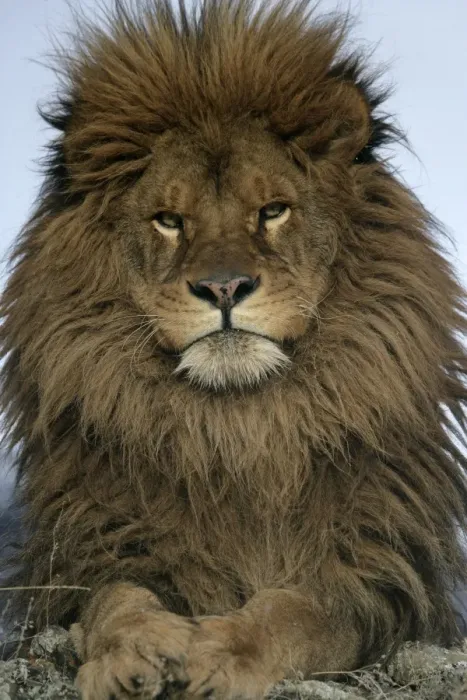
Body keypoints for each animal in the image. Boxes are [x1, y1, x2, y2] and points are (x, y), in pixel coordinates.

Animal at [1, 0, 467, 698]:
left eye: (272, 210)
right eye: (169, 220)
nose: (224, 287)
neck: (238, 428)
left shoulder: (376, 577)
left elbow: (295, 612)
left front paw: (223, 654)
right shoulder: (94, 548)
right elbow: (116, 600)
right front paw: (130, 655)